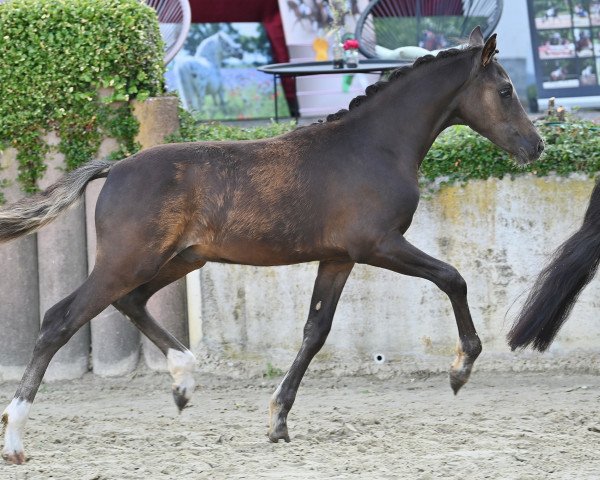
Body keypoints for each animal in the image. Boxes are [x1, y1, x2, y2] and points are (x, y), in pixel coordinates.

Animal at [1, 28, 544, 464]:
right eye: (505, 90)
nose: (535, 146)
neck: (373, 146)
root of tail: (114, 168)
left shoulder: (337, 258)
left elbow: (315, 332)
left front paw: (278, 420)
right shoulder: (378, 245)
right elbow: (453, 277)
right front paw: (461, 369)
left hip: (177, 258)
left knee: (130, 301)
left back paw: (183, 381)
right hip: (129, 260)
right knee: (60, 320)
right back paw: (16, 440)